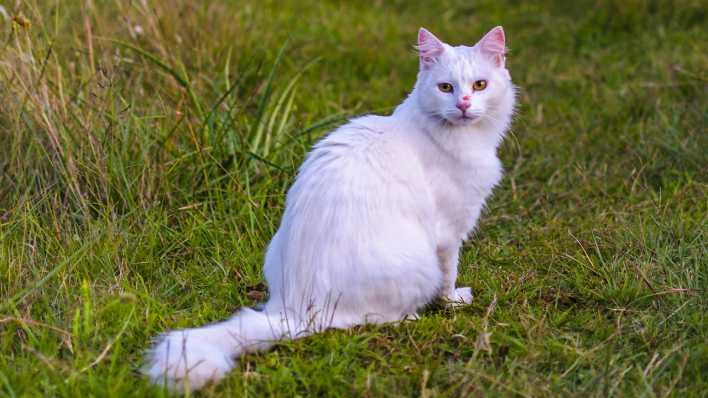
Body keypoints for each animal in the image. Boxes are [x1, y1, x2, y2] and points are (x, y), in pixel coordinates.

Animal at [144, 25, 516, 392]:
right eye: (445, 87)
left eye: (480, 85)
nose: (464, 103)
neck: (461, 139)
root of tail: (297, 308)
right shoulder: (450, 233)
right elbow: (450, 275)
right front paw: (453, 301)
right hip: (416, 263)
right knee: (375, 318)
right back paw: (409, 316)